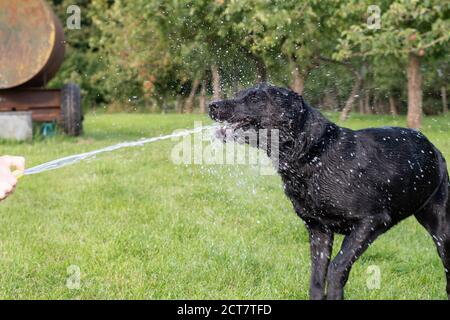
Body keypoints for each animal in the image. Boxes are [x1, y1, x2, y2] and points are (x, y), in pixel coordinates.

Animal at [209, 83, 450, 300]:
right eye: (240, 93)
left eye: (255, 98)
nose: (212, 105)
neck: (314, 154)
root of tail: (433, 148)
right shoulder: (318, 229)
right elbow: (316, 278)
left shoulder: (371, 222)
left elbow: (337, 268)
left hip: (442, 230)